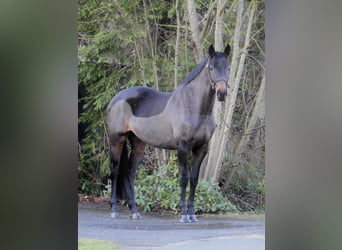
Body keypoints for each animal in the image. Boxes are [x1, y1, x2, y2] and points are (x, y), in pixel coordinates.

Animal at [106, 43, 230, 223]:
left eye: (228, 68)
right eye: (212, 68)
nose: (222, 93)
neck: (195, 108)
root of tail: (116, 99)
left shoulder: (201, 149)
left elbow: (194, 180)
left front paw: (192, 214)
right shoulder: (183, 147)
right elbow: (184, 178)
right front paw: (184, 214)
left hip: (138, 143)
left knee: (130, 172)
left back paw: (134, 211)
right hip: (117, 140)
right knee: (115, 171)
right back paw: (114, 209)